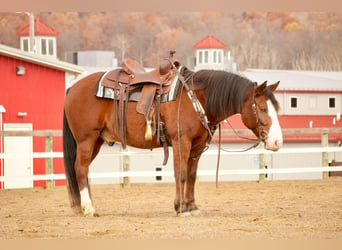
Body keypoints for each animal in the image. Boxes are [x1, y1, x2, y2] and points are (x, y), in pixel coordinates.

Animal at [62, 61, 282, 217]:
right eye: (263, 108)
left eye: (276, 108)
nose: (277, 142)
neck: (197, 98)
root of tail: (72, 88)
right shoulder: (181, 142)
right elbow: (181, 174)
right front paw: (180, 208)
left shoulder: (197, 147)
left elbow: (191, 176)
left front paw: (192, 207)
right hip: (86, 140)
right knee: (81, 169)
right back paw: (89, 208)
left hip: (97, 141)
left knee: (82, 170)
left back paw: (85, 206)